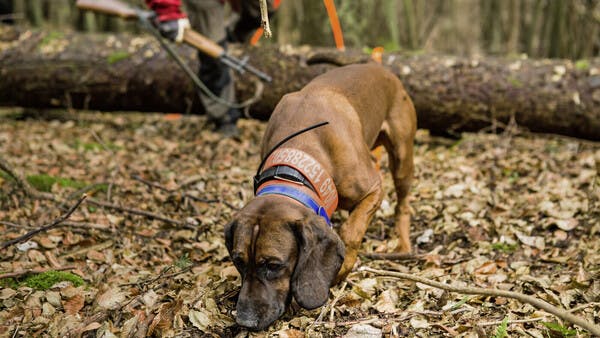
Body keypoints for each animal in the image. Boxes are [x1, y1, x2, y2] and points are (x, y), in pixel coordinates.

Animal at [225, 63, 418, 330]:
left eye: (273, 265)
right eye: (239, 261)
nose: (245, 321)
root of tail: (377, 66)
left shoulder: (374, 189)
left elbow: (350, 232)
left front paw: (341, 269)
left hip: (401, 158)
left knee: (403, 204)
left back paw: (403, 244)